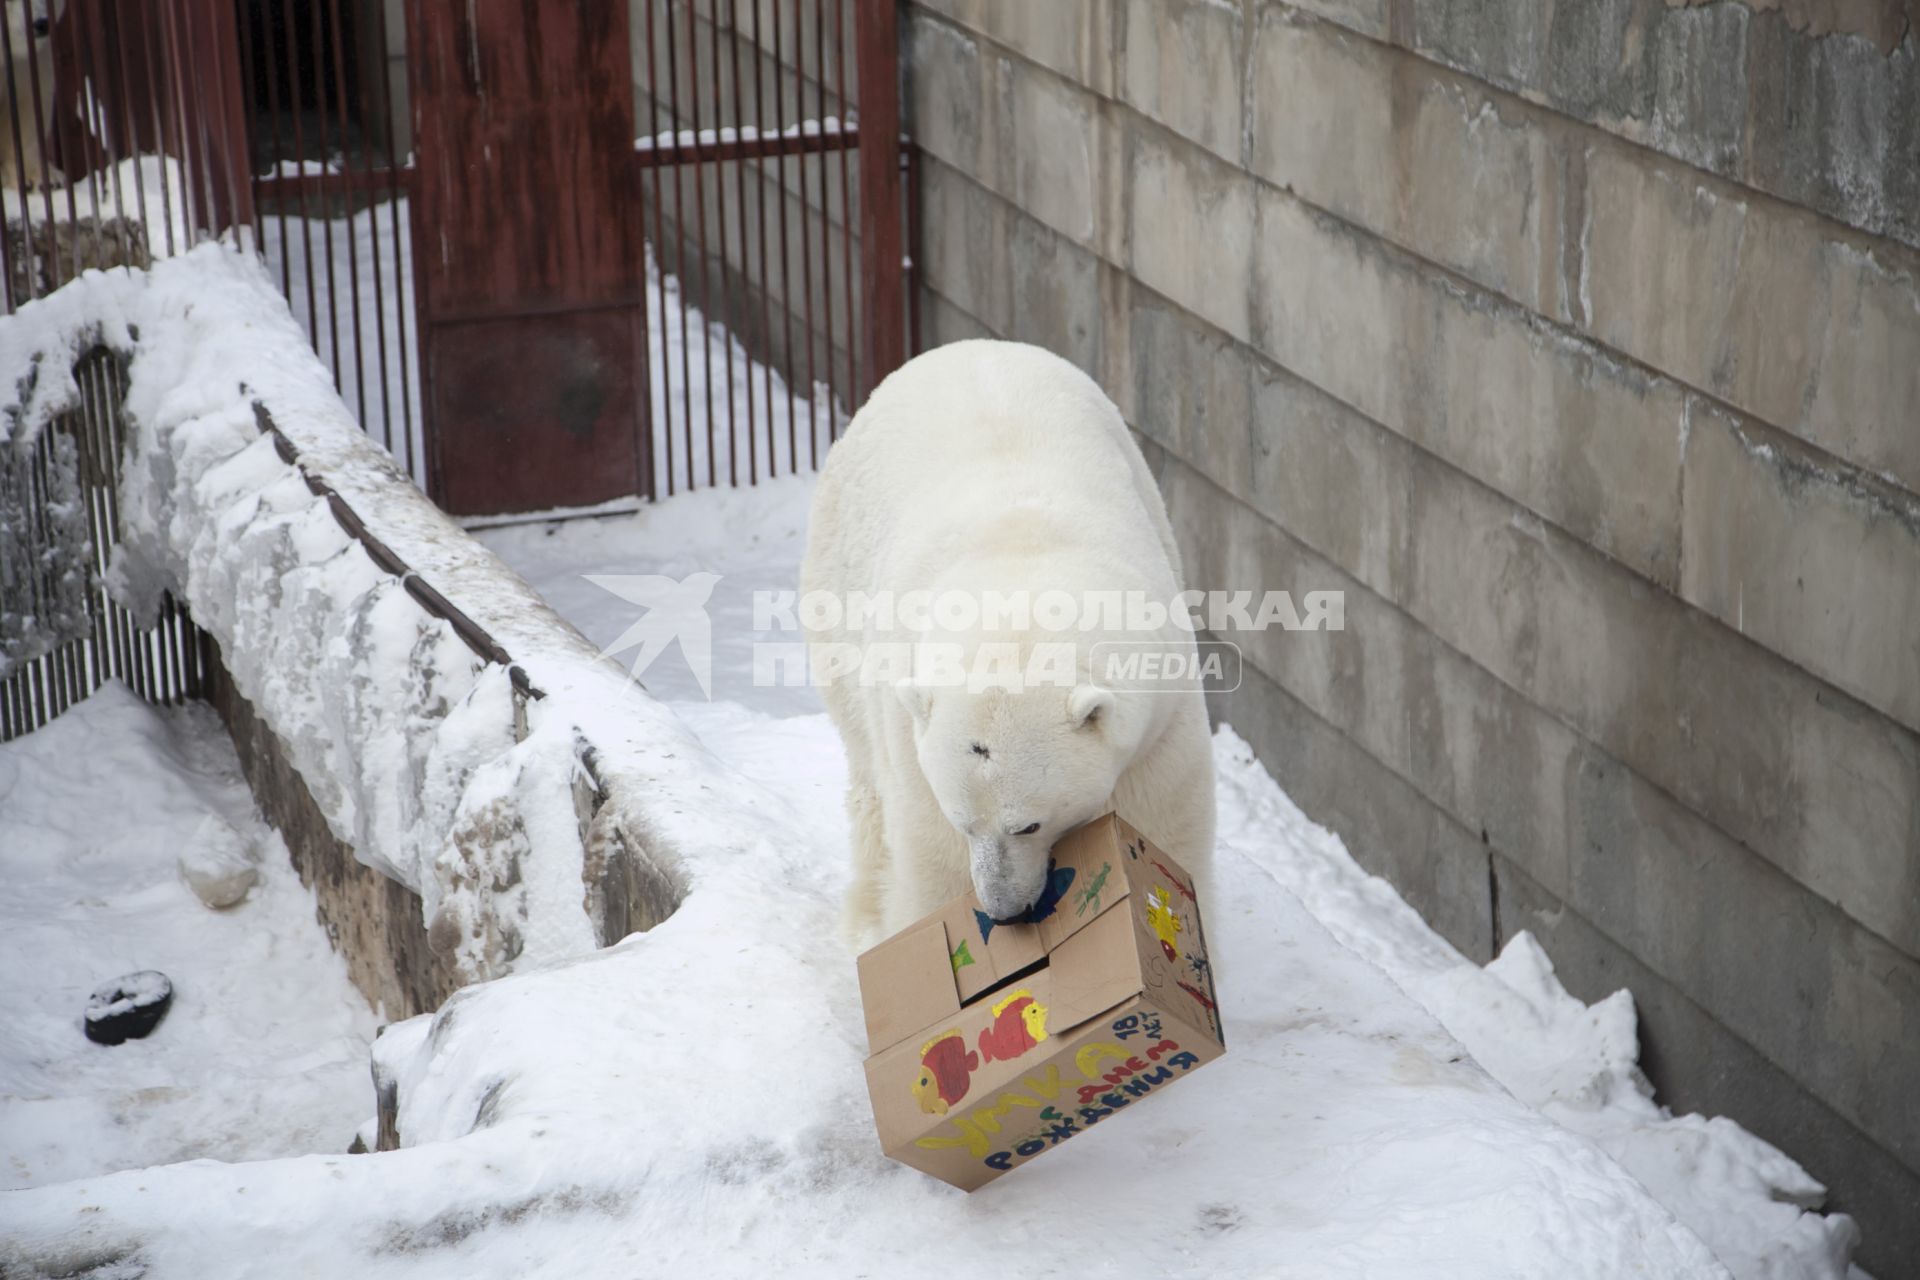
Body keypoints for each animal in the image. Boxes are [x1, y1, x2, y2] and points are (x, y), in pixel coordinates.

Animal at [798, 339, 1213, 951]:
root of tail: (965, 345)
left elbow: (1164, 822)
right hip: (836, 577)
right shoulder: (910, 725)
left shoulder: (1161, 716)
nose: (1006, 909)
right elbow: (928, 850)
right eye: (963, 820)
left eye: (1029, 824)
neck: (1020, 574)